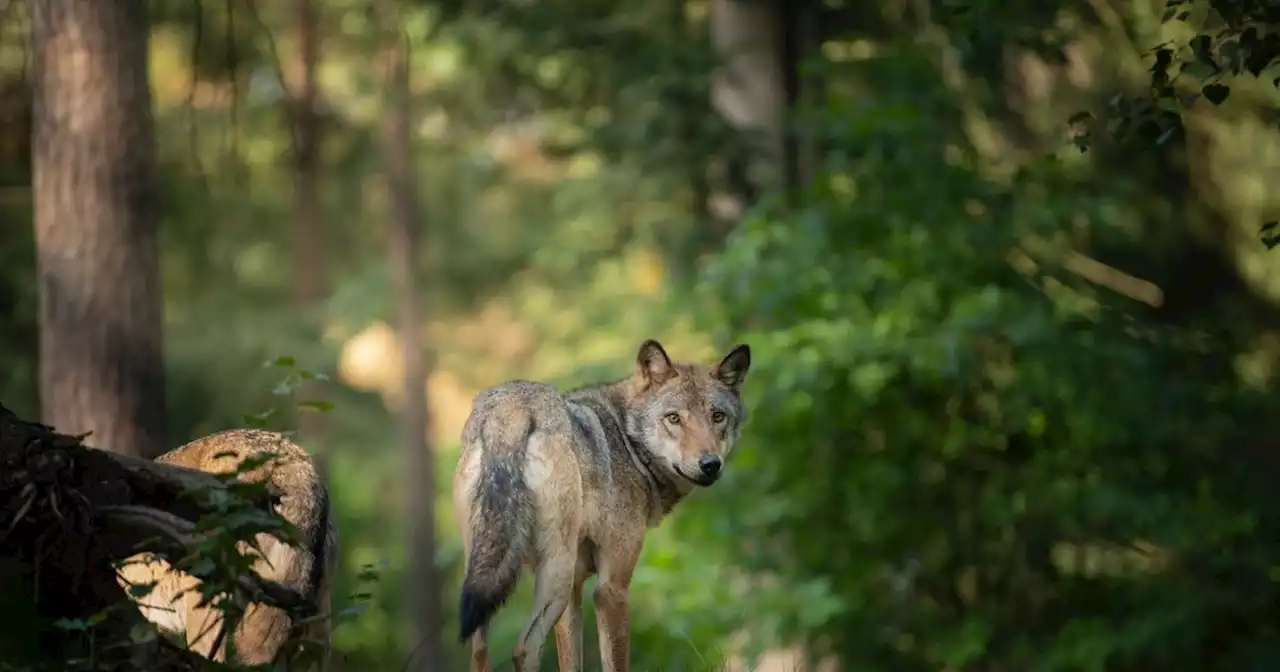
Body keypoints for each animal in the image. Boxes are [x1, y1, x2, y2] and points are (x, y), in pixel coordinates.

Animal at [455, 337, 747, 665]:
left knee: (480, 651)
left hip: (488, 580)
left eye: (717, 416)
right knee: (523, 648)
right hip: (555, 576)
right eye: (674, 418)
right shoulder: (611, 589)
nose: (710, 464)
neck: (627, 441)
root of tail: (511, 409)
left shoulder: (575, 592)